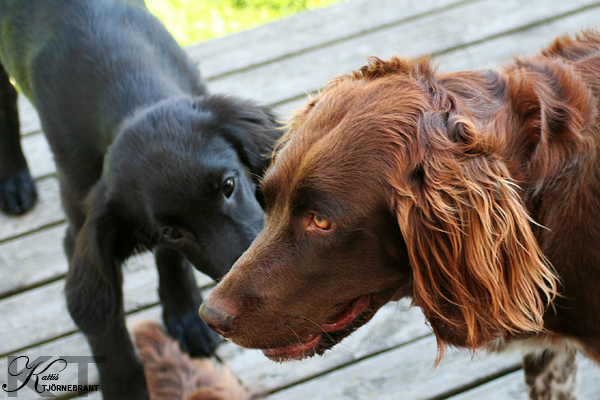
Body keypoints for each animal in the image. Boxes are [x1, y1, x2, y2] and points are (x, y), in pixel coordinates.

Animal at [0, 1, 282, 398]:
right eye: (174, 231)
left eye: (229, 185)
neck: (130, 93)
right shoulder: (80, 227)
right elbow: (106, 328)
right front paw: (124, 388)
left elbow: (170, 259)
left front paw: (183, 313)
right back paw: (13, 179)